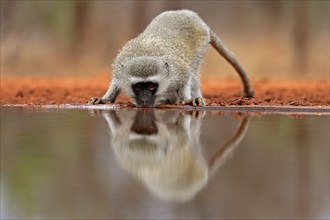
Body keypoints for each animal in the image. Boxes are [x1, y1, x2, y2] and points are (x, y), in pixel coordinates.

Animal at [89, 9, 254, 107]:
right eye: (138, 87)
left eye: (151, 86)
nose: (144, 100)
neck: (145, 53)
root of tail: (188, 14)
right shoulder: (119, 67)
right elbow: (116, 82)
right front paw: (106, 99)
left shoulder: (178, 71)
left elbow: (187, 76)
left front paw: (188, 99)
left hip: (202, 42)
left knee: (194, 72)